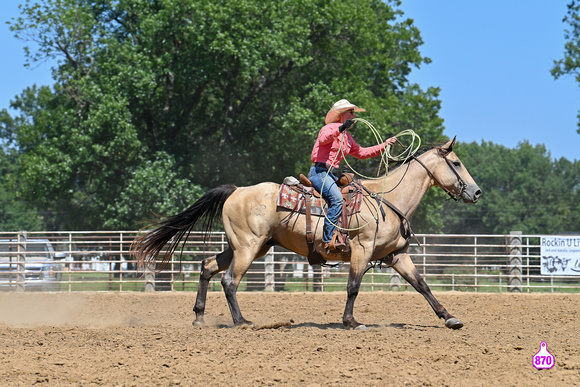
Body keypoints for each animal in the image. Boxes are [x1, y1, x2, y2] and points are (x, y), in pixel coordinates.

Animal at [131, 138, 480, 332]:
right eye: (457, 162)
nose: (476, 192)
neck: (387, 199)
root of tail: (237, 190)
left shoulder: (396, 255)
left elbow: (422, 285)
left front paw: (450, 318)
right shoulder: (362, 250)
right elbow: (353, 287)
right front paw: (352, 322)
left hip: (245, 247)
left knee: (206, 267)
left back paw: (199, 318)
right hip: (248, 247)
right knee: (229, 281)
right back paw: (242, 322)